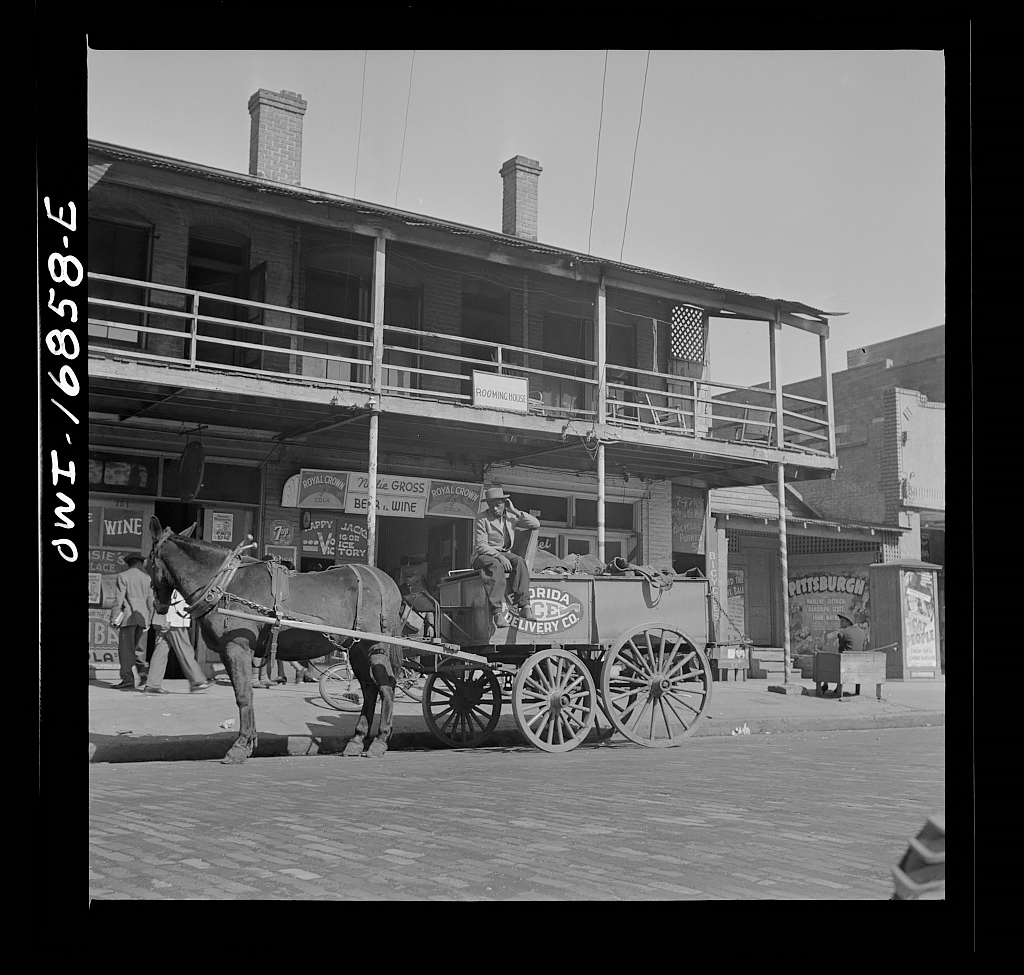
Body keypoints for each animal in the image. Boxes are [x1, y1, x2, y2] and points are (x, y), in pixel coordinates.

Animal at [145, 514, 407, 766]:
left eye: (148, 562)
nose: (157, 605)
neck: (223, 584)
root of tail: (385, 580)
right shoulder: (231, 651)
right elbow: (245, 692)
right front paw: (249, 741)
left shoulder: (237, 647)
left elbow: (243, 694)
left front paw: (240, 745)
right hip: (356, 648)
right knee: (370, 688)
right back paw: (356, 740)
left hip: (375, 645)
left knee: (386, 686)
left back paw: (380, 741)